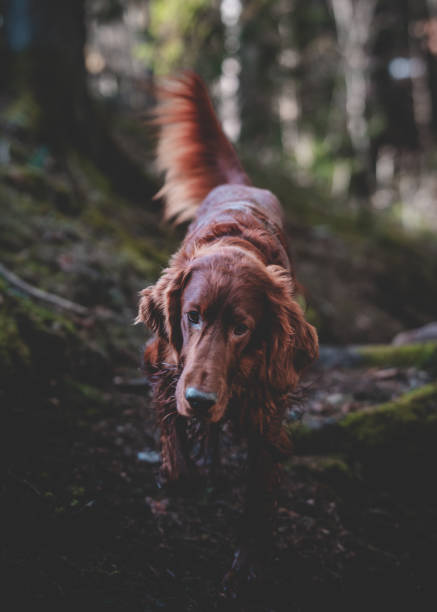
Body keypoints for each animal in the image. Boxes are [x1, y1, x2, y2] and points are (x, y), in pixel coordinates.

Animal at [136, 73, 316, 592]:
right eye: (191, 316)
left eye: (241, 328)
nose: (199, 399)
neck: (236, 244)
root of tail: (242, 184)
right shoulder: (166, 363)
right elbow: (174, 443)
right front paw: (182, 474)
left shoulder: (268, 398)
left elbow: (258, 484)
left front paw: (248, 561)